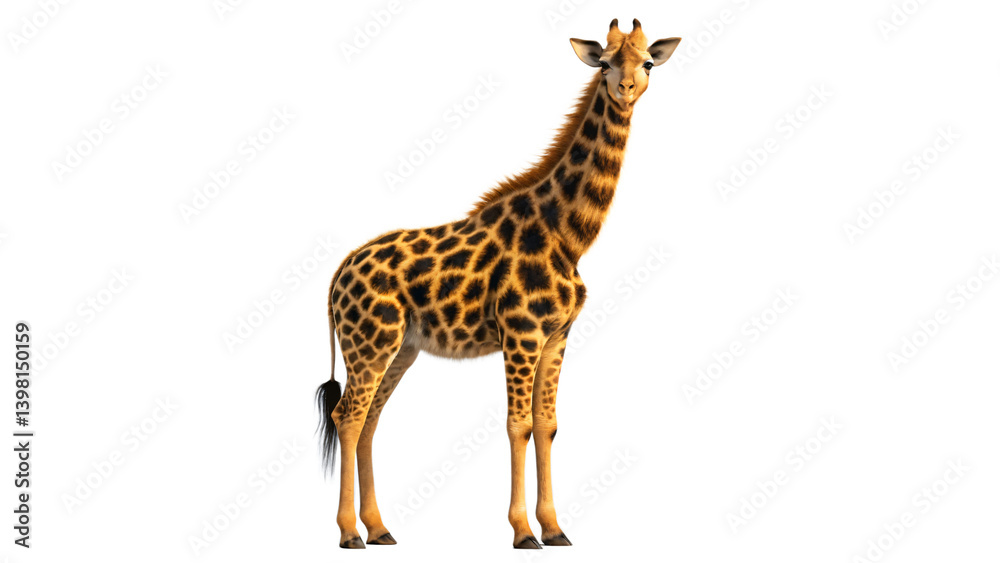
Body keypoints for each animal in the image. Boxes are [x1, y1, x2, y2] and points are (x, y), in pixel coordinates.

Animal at [316, 19, 681, 549]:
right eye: (606, 63)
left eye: (649, 62)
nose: (627, 89)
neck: (569, 236)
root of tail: (337, 275)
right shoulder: (521, 333)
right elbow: (518, 425)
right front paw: (524, 532)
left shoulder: (557, 336)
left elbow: (547, 425)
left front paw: (555, 529)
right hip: (370, 343)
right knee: (347, 416)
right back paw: (349, 533)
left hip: (400, 347)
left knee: (369, 420)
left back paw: (380, 528)